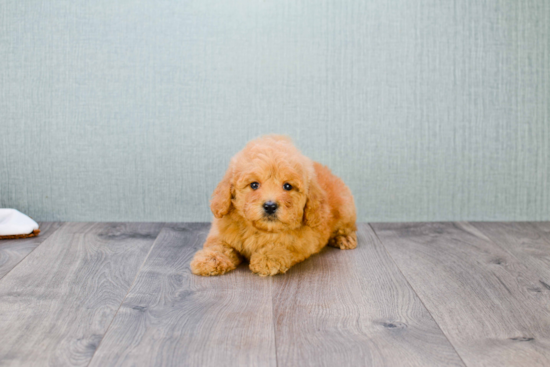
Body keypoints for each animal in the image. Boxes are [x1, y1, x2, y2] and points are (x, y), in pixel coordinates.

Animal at [192, 134, 360, 276]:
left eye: (287, 186)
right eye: (254, 185)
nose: (270, 206)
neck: (261, 230)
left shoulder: (302, 241)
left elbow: (283, 245)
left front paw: (268, 258)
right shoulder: (222, 232)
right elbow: (218, 245)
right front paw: (210, 259)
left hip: (346, 207)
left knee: (347, 226)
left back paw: (344, 238)